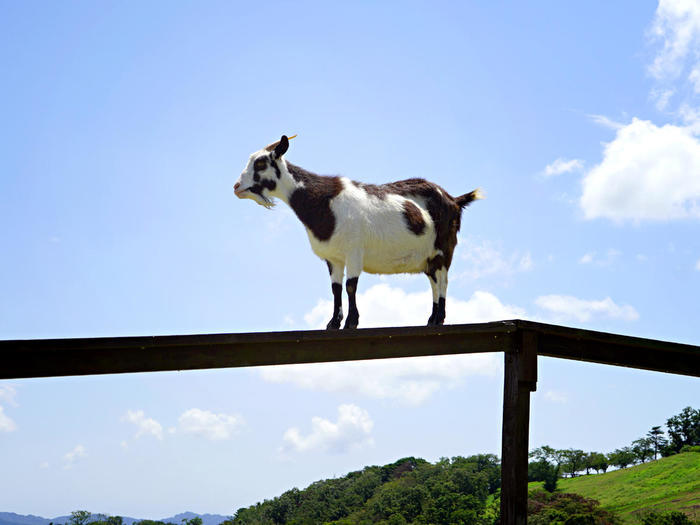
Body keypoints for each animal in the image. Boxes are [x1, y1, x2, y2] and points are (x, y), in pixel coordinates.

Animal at [235, 136, 482, 328]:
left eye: (261, 163)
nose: (237, 187)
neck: (324, 202)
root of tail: (454, 200)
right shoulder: (333, 258)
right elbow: (335, 288)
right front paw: (333, 323)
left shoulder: (354, 251)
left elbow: (350, 286)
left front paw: (351, 322)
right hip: (428, 258)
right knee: (434, 281)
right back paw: (431, 320)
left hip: (443, 249)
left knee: (443, 281)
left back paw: (438, 318)